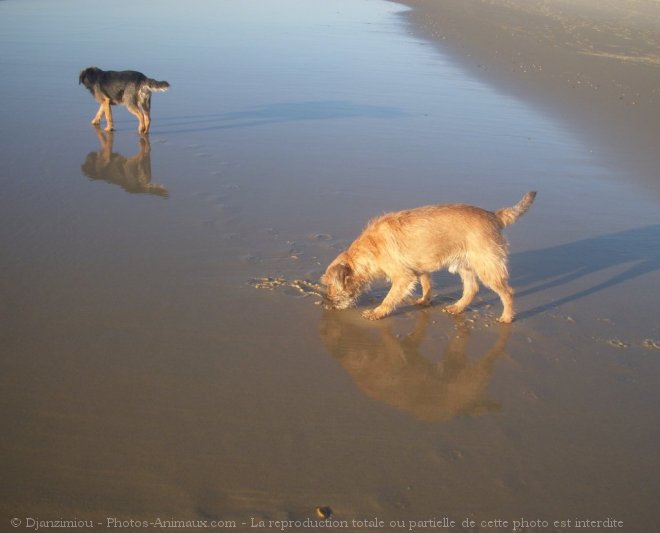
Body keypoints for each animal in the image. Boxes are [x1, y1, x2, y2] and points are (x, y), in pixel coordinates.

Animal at [320, 193, 536, 322]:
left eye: (329, 286)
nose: (326, 302)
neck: (372, 248)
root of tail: (494, 216)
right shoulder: (419, 268)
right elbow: (426, 284)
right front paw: (425, 301)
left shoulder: (403, 277)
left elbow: (390, 298)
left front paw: (377, 312)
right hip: (465, 266)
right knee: (471, 288)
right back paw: (457, 308)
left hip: (487, 267)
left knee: (507, 292)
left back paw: (506, 317)